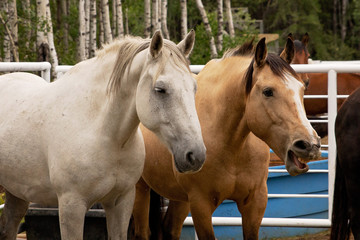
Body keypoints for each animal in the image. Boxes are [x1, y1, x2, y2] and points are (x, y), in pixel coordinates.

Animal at [0, 30, 205, 240]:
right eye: (160, 89)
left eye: (194, 87)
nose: (195, 155)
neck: (106, 136)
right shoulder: (71, 205)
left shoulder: (121, 202)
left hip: (17, 193)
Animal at [131, 36, 320, 239]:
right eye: (268, 91)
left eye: (302, 87)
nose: (309, 145)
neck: (232, 146)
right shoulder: (201, 205)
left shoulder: (255, 202)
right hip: (140, 189)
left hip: (180, 197)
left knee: (170, 228)